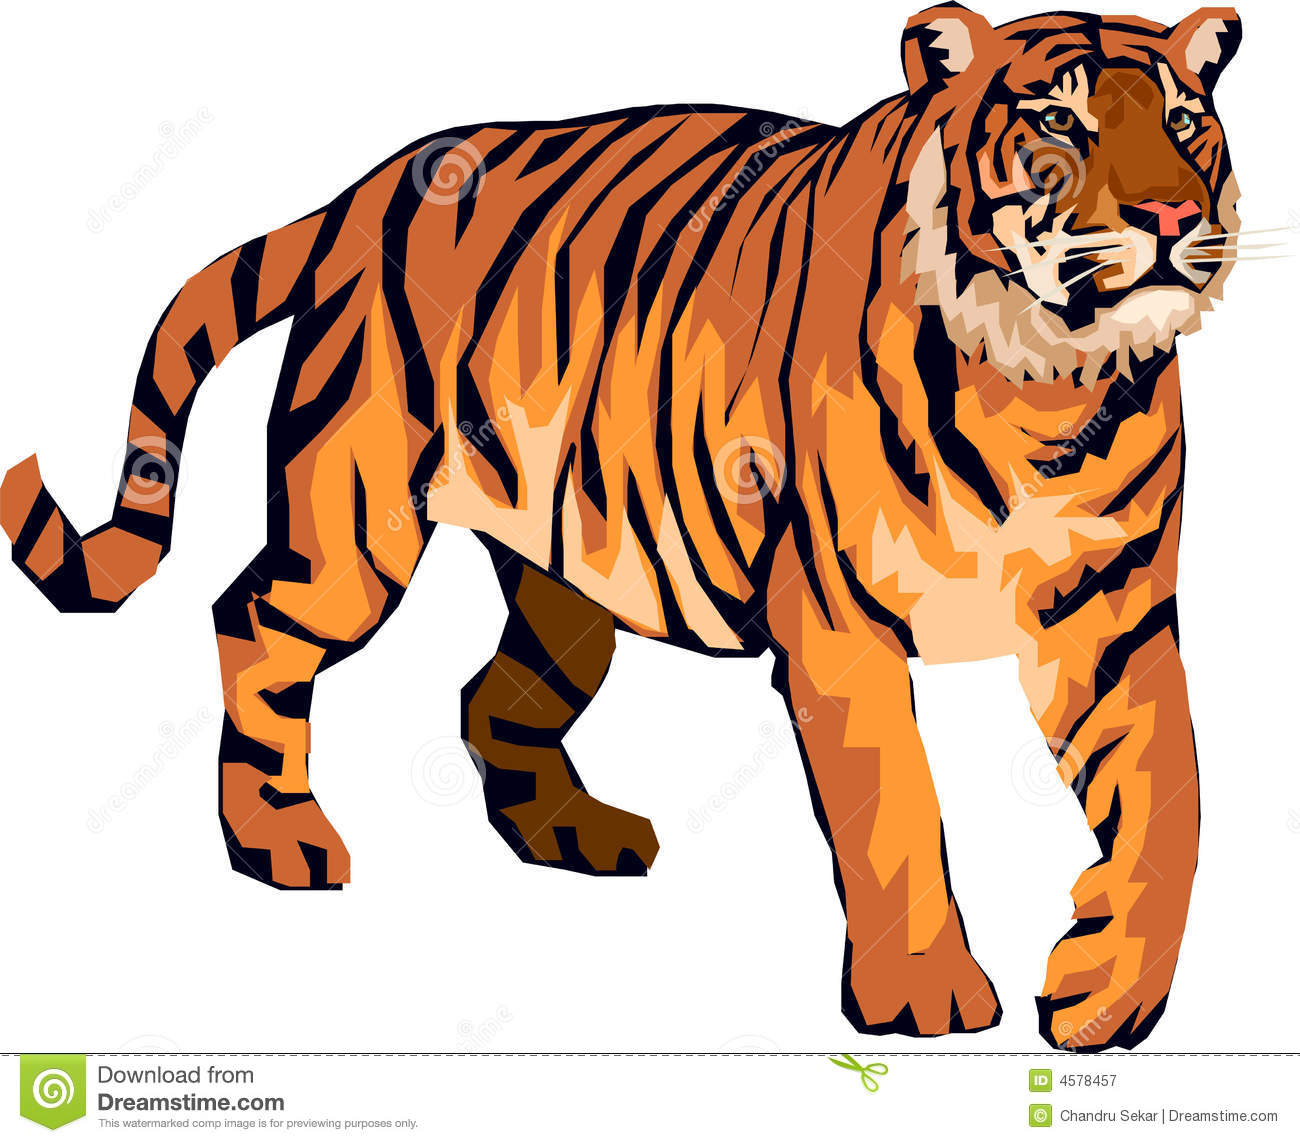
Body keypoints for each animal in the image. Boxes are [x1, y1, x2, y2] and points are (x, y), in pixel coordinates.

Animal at [1, 4, 1241, 1051]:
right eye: (1059, 123)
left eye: (1185, 125)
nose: (1171, 216)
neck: (1045, 386)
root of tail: (367, 186)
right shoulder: (839, 628)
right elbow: (893, 807)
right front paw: (923, 996)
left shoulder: (1116, 620)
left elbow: (1170, 803)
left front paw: (1106, 995)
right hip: (355, 525)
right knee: (253, 618)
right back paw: (279, 840)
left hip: (571, 580)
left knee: (489, 697)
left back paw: (573, 835)